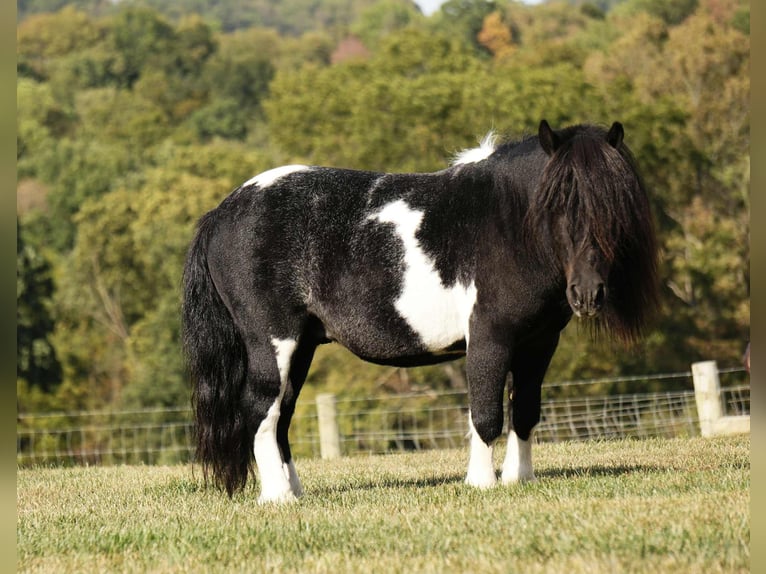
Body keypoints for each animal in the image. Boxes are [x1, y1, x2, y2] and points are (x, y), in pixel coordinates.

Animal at [182, 119, 659, 503]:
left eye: (613, 206)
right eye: (557, 204)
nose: (588, 293)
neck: (506, 223)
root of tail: (223, 211)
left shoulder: (539, 343)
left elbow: (524, 410)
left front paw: (518, 479)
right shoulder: (490, 337)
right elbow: (486, 414)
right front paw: (481, 483)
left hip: (301, 348)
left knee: (282, 418)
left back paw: (294, 490)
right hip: (272, 343)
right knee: (261, 412)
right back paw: (277, 497)